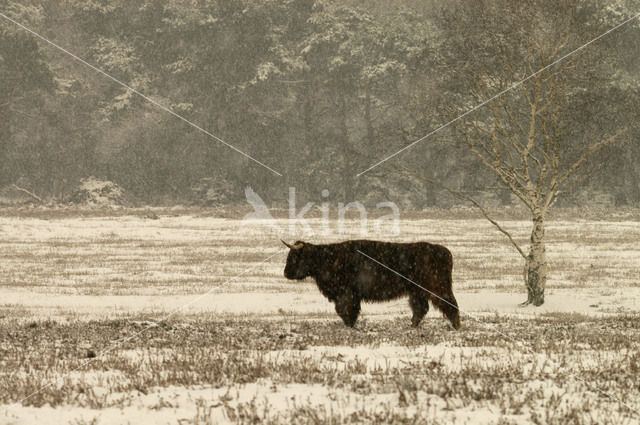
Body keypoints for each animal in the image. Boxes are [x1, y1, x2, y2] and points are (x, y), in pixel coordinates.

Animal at [282, 238, 460, 328]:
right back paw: (412, 326)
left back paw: (456, 326)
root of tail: (444, 251)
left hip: (436, 288)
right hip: (417, 291)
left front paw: (350, 325)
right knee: (421, 309)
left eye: (295, 256)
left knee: (449, 304)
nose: (286, 273)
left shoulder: (346, 294)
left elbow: (344, 310)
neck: (326, 257)